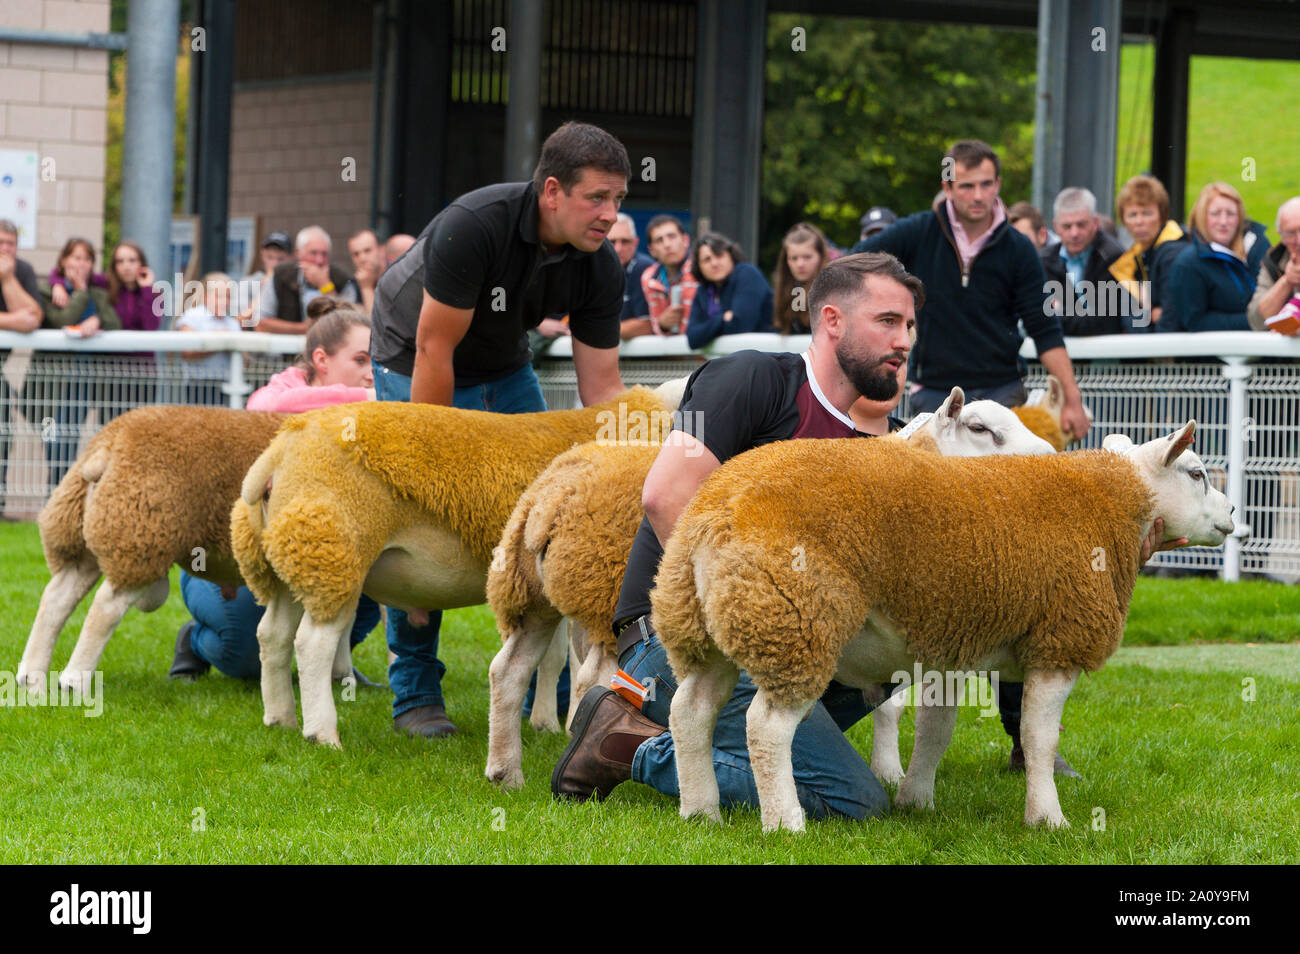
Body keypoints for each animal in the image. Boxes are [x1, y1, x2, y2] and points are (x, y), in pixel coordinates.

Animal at [16, 402, 284, 696]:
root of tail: (110, 443)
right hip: (140, 536)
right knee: (106, 606)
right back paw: (75, 681)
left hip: (89, 532)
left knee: (56, 597)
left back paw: (32, 680)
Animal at [228, 379, 686, 748]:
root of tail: (282, 447)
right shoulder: (590, 579)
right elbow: (575, 665)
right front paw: (571, 723)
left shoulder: (551, 587)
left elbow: (553, 659)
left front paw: (545, 724)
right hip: (335, 552)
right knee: (313, 643)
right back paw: (323, 734)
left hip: (293, 556)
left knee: (272, 634)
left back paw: (281, 719)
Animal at [483, 384, 1060, 790]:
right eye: (981, 428)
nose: (1052, 464)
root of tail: (548, 497)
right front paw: (891, 773)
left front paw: (891, 769)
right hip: (600, 595)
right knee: (590, 679)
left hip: (528, 595)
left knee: (509, 669)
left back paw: (506, 771)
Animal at [655, 426, 1232, 837]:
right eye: (1197, 473)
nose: (1232, 514)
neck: (1115, 499)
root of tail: (716, 509)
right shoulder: (1060, 640)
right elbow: (1039, 738)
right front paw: (1048, 819)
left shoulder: (951, 645)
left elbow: (937, 729)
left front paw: (916, 801)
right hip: (794, 617)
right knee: (766, 726)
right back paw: (784, 823)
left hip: (703, 623)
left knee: (690, 711)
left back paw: (700, 811)